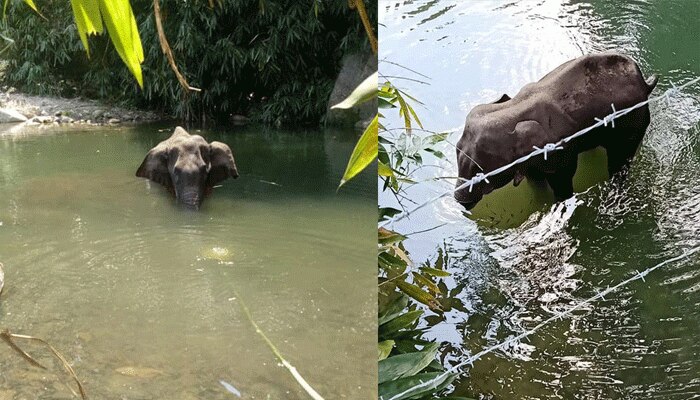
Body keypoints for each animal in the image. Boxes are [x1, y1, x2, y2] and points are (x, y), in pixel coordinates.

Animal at [456, 52, 660, 209]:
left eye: (481, 170)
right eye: (457, 149)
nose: (459, 200)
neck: (514, 108)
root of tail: (646, 83)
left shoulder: (559, 151)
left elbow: (563, 178)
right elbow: (535, 179)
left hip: (633, 123)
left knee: (620, 161)